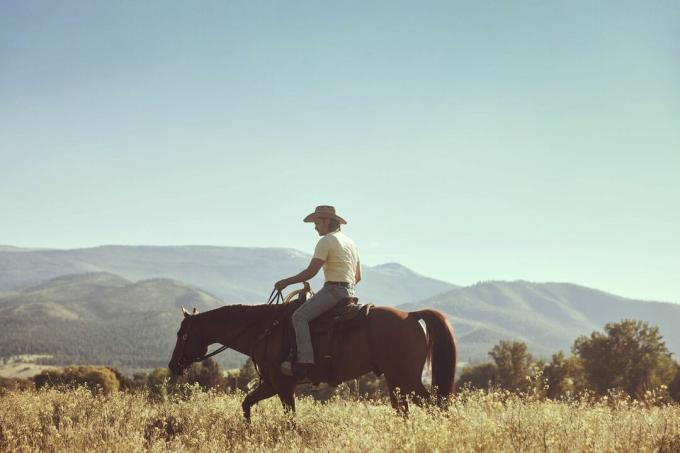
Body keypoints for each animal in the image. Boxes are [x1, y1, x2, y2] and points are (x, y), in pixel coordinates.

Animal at [168, 294, 456, 418]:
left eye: (181, 334)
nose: (173, 365)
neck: (263, 329)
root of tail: (412, 316)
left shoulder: (282, 385)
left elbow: (290, 417)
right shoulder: (271, 384)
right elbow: (247, 404)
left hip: (407, 379)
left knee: (435, 406)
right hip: (396, 382)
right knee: (405, 411)